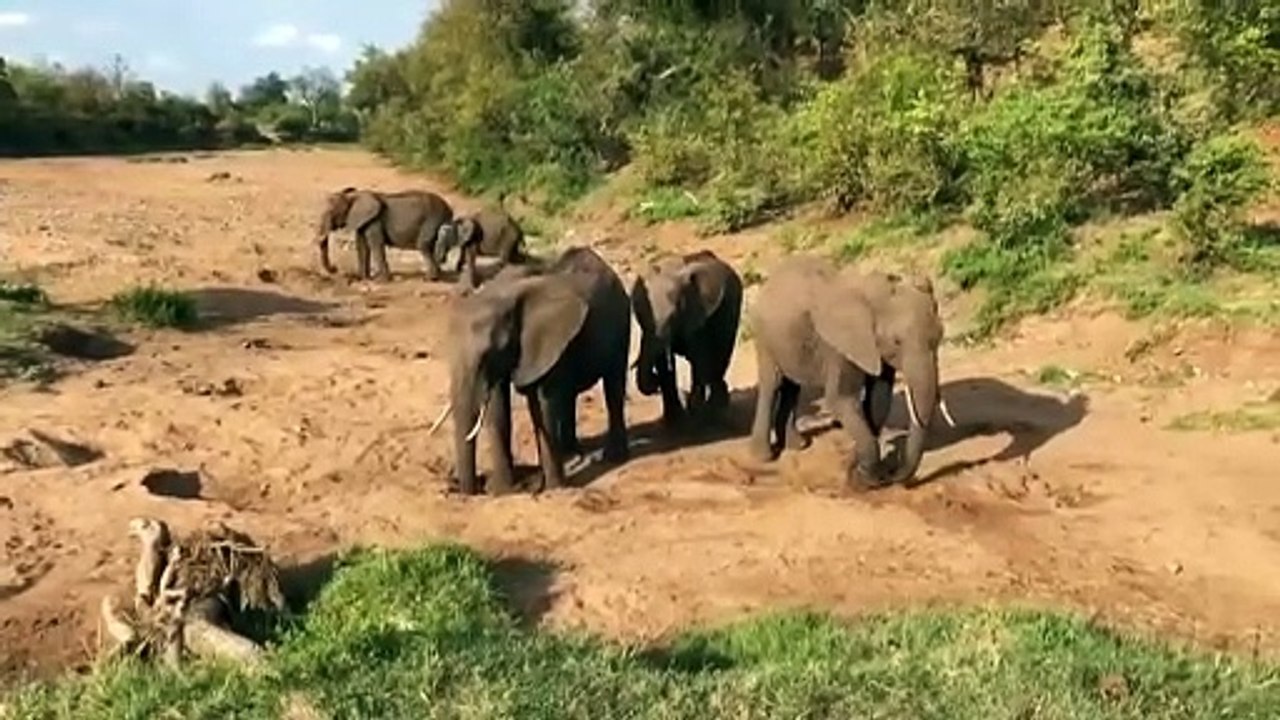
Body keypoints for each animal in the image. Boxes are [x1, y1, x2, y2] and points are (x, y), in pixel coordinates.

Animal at [313, 186, 454, 282]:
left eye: (331, 212)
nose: (335, 268)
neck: (353, 196)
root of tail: (449, 210)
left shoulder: (374, 221)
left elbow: (376, 244)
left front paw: (381, 281)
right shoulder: (363, 220)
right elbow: (362, 246)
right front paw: (363, 278)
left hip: (433, 219)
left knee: (423, 245)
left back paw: (430, 278)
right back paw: (438, 276)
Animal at [429, 246, 631, 496]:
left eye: (486, 355)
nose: (467, 491)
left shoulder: (546, 341)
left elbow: (543, 406)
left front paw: (553, 490)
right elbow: (498, 407)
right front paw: (503, 490)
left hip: (622, 322)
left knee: (614, 386)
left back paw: (614, 458)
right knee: (570, 395)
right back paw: (570, 453)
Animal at [630, 249, 743, 428]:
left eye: (673, 317)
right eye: (642, 316)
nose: (655, 385)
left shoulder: (697, 313)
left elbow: (699, 357)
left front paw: (697, 417)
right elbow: (663, 363)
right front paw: (675, 422)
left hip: (732, 305)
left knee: (721, 354)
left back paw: (716, 410)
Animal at [747, 255, 954, 488]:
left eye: (939, 337)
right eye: (897, 341)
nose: (893, 473)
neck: (873, 296)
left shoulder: (874, 348)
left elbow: (878, 398)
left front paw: (861, 473)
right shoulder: (841, 345)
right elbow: (841, 400)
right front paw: (868, 478)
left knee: (793, 385)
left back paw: (798, 445)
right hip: (763, 334)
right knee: (772, 382)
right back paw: (764, 457)